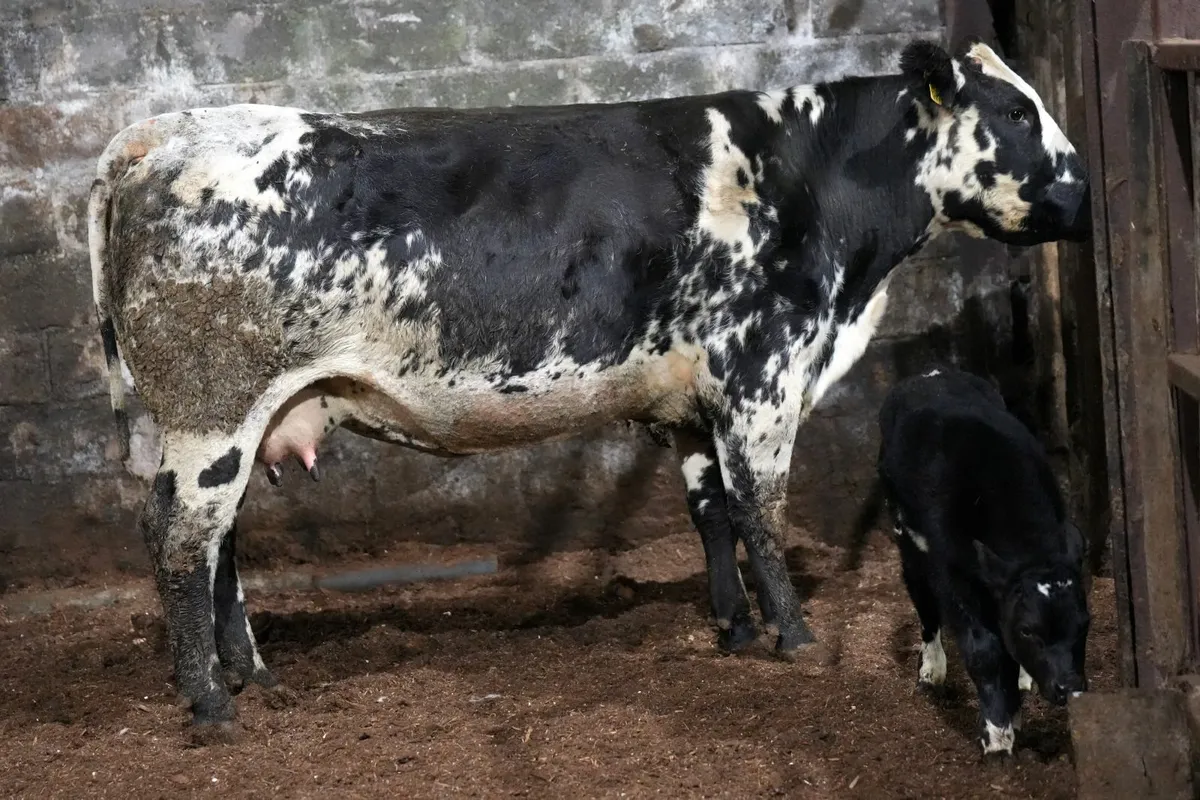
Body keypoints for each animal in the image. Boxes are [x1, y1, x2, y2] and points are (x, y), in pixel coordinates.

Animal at [875, 366, 1090, 757]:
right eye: (1028, 630)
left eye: (1084, 623)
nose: (1069, 688)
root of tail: (932, 373)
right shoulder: (952, 573)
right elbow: (985, 651)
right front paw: (997, 734)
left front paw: (1014, 712)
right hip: (905, 538)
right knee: (922, 601)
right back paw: (931, 670)